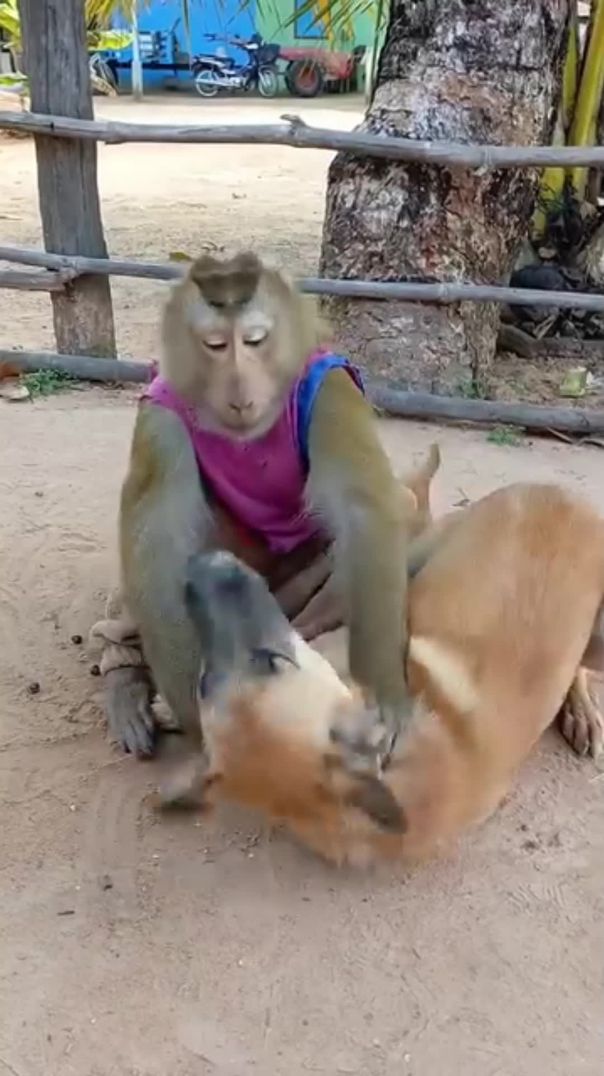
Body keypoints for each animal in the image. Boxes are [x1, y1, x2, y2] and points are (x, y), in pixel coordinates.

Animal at [95, 252, 415, 759]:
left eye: (255, 340)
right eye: (215, 344)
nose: (240, 390)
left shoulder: (328, 387)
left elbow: (364, 511)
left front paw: (382, 699)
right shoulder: (160, 414)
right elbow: (157, 542)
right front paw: (198, 715)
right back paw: (126, 680)